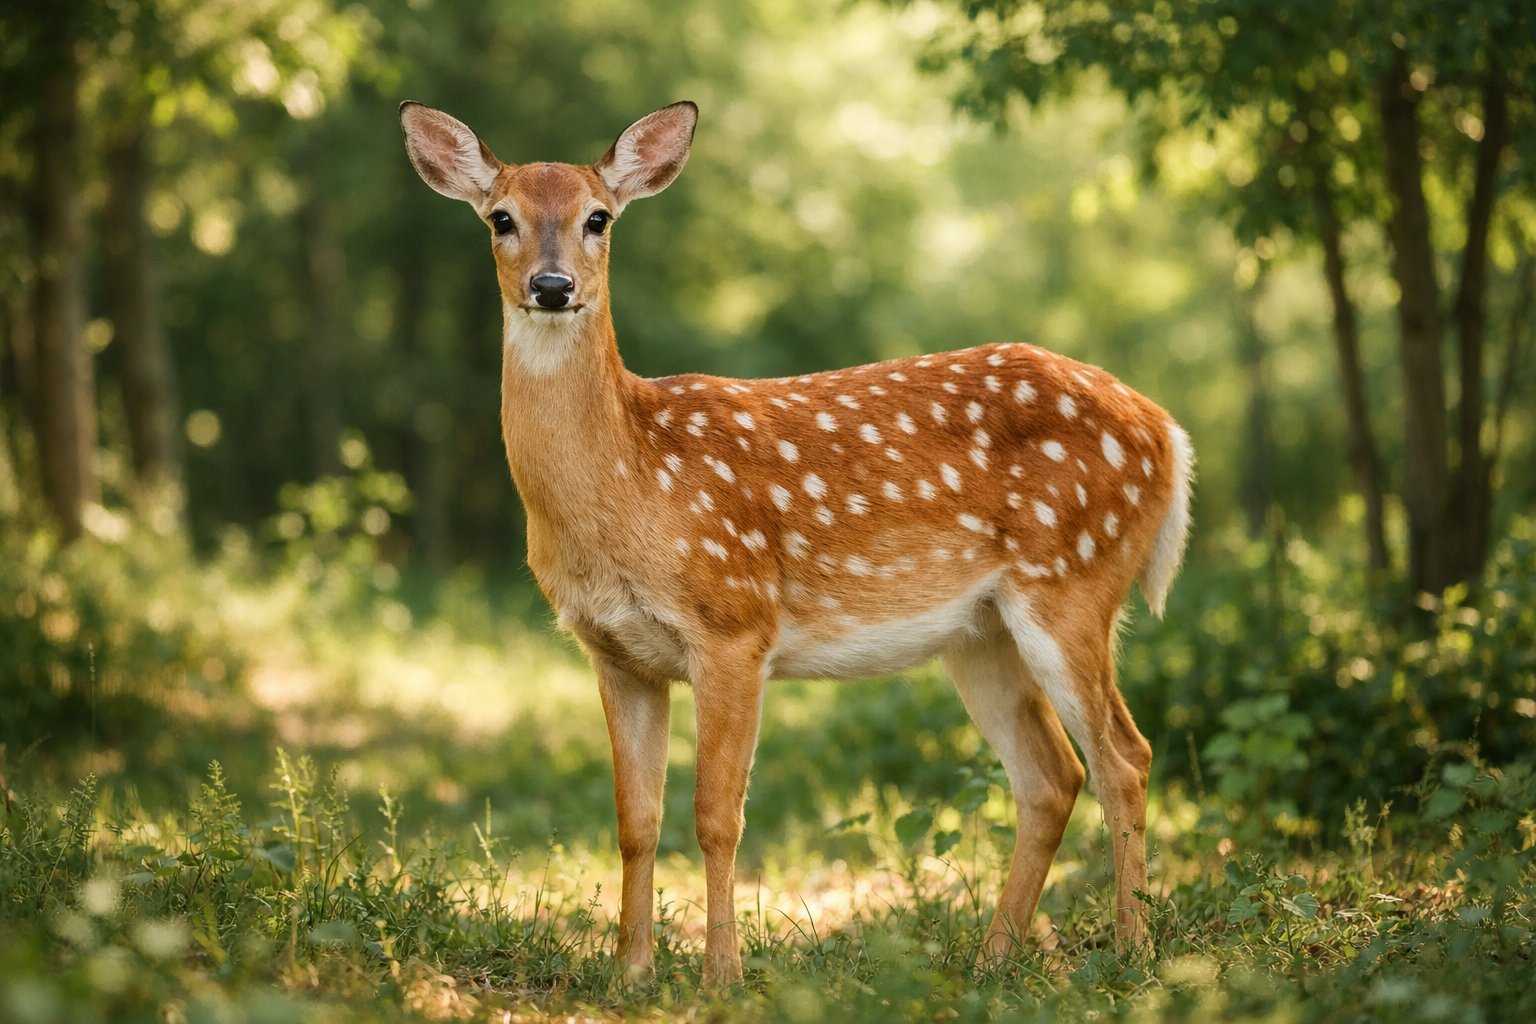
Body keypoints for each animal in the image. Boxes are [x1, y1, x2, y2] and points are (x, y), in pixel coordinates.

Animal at [399, 98, 1193, 985]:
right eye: (500, 218)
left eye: (597, 218)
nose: (551, 285)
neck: (632, 478)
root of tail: (1166, 431)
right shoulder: (615, 652)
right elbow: (636, 820)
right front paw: (630, 973)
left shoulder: (733, 623)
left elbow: (717, 816)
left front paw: (721, 975)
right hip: (980, 631)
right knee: (1052, 775)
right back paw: (993, 960)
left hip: (1074, 579)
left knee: (1125, 756)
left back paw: (1134, 952)